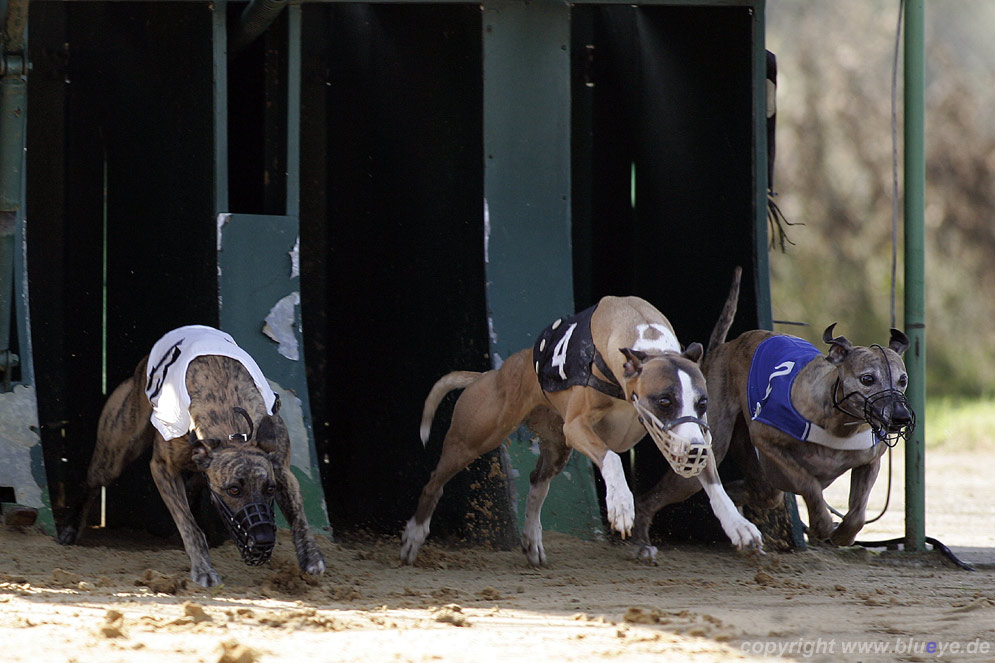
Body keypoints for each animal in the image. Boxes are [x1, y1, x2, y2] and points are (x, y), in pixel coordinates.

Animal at [59, 326, 326, 588]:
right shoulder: (163, 468)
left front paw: (311, 557)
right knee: (94, 482)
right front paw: (204, 569)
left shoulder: (280, 467)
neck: (232, 426)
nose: (262, 539)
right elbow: (189, 525)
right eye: (233, 490)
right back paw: (70, 528)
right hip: (116, 450)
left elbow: (298, 516)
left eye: (270, 489)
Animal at [400, 294, 768, 568]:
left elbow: (714, 483)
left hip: (556, 449)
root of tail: (491, 375)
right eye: (664, 400)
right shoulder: (578, 426)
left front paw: (739, 526)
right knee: (434, 483)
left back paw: (532, 541)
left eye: (702, 402)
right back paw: (413, 537)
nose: (695, 449)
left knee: (537, 482)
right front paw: (621, 505)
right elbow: (612, 460)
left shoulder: (691, 433)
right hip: (474, 438)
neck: (647, 342)